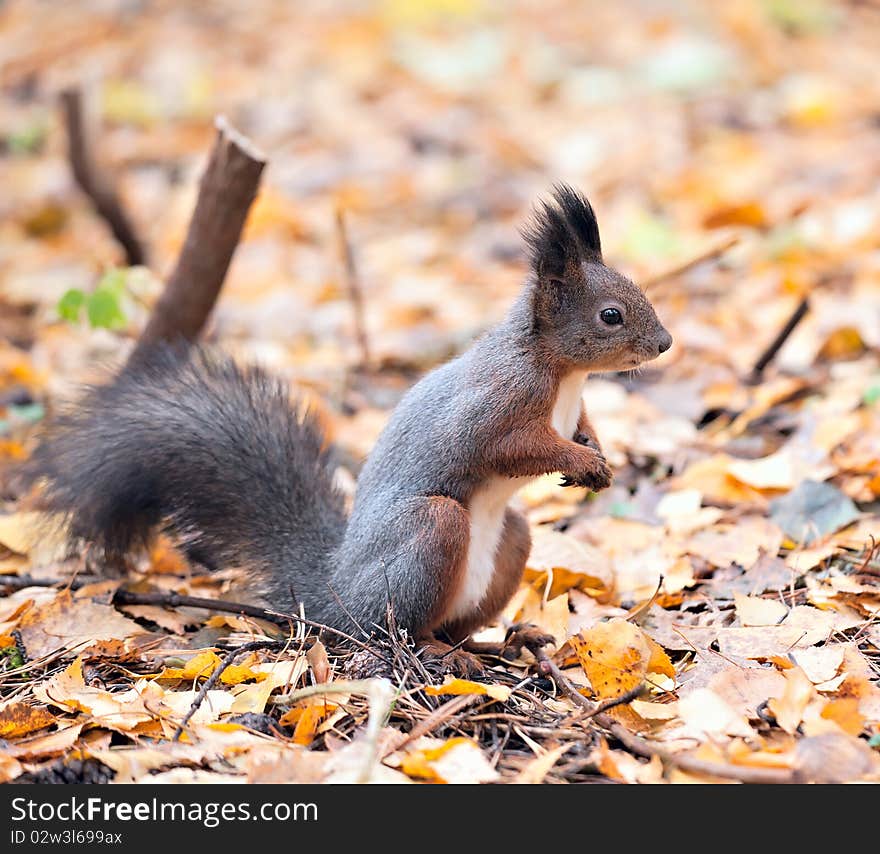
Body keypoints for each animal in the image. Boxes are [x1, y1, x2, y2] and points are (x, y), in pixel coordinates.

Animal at [29, 186, 672, 648]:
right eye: (611, 315)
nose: (664, 343)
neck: (562, 372)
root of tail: (334, 596)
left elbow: (584, 424)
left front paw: (597, 454)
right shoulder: (495, 404)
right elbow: (512, 446)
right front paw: (580, 460)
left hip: (509, 540)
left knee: (461, 613)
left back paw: (498, 642)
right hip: (429, 535)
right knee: (401, 627)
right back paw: (434, 652)